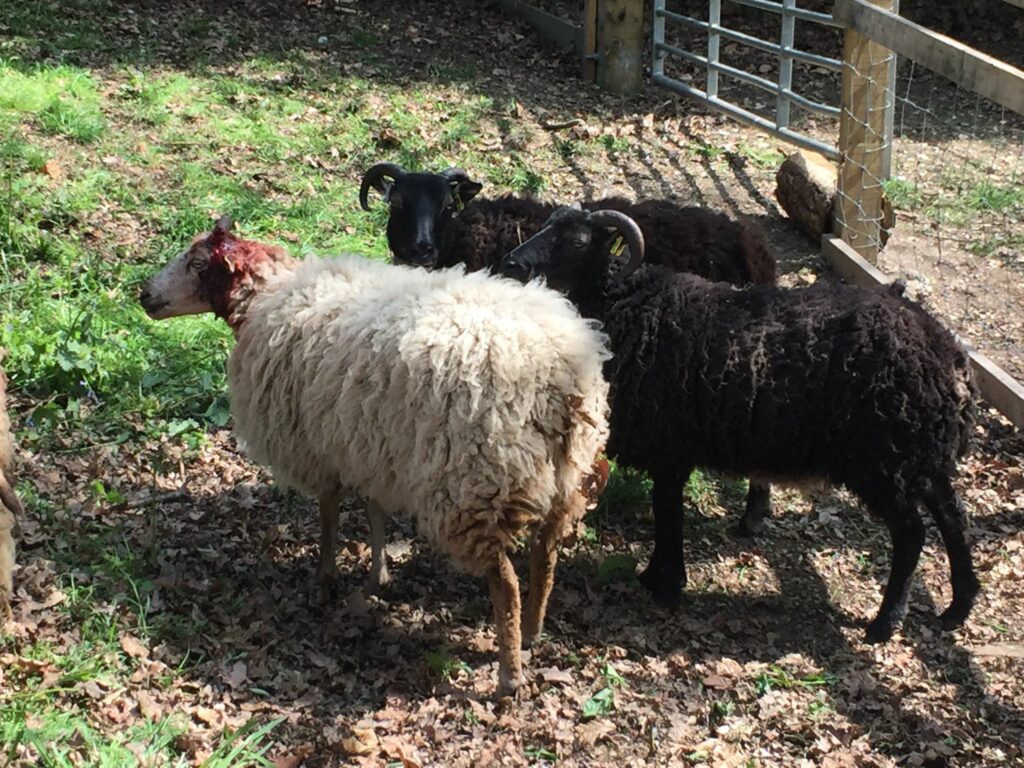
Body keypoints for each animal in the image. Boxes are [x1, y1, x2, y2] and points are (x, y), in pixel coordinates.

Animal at [139, 217, 610, 694]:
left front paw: (326, 575)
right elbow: (374, 509)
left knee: (506, 583)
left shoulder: (316, 445)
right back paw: (533, 630)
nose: (144, 294)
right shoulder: (368, 443)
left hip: (475, 485)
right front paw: (377, 574)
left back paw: (509, 674)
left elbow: (329, 511)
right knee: (546, 556)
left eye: (198, 263)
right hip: (565, 477)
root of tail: (562, 375)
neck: (271, 296)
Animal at [498, 206, 980, 643]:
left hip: (884, 459)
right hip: (920, 454)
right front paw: (658, 575)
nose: (512, 264)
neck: (627, 304)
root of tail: (949, 356)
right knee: (954, 518)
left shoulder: (669, 446)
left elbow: (666, 510)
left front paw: (665, 583)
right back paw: (958, 608)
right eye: (545, 227)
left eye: (578, 241)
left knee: (913, 534)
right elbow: (665, 508)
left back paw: (885, 624)